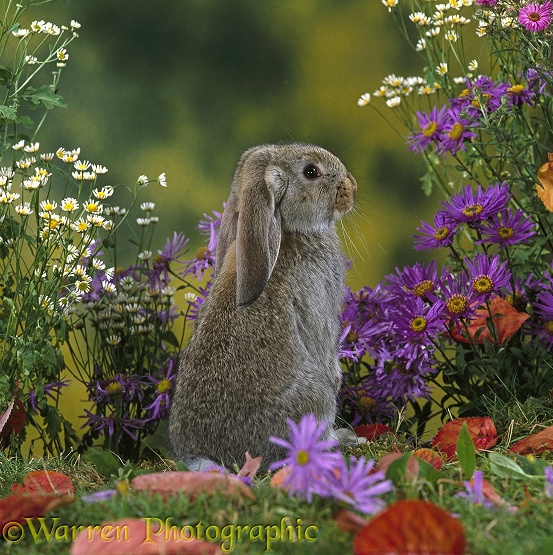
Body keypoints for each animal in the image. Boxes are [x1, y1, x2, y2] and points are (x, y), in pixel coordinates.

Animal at [168, 142, 358, 470]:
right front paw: (337, 377)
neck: (287, 230)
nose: (351, 185)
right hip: (314, 401)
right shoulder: (320, 310)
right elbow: (325, 348)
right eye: (311, 172)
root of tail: (205, 456)